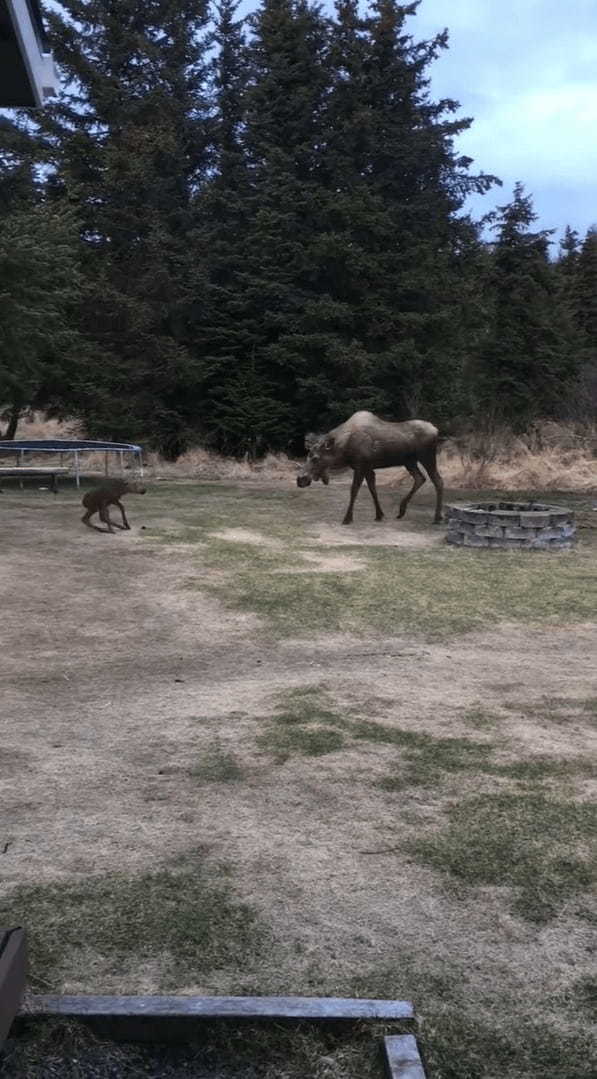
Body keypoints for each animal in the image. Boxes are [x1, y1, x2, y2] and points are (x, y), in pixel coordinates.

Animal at [295, 410, 442, 524]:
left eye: (315, 458)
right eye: (308, 455)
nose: (300, 479)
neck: (344, 451)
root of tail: (436, 430)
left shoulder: (360, 466)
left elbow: (354, 490)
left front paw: (347, 518)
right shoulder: (368, 468)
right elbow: (373, 489)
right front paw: (379, 515)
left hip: (427, 456)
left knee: (437, 480)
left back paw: (437, 517)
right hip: (409, 462)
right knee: (420, 478)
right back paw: (401, 511)